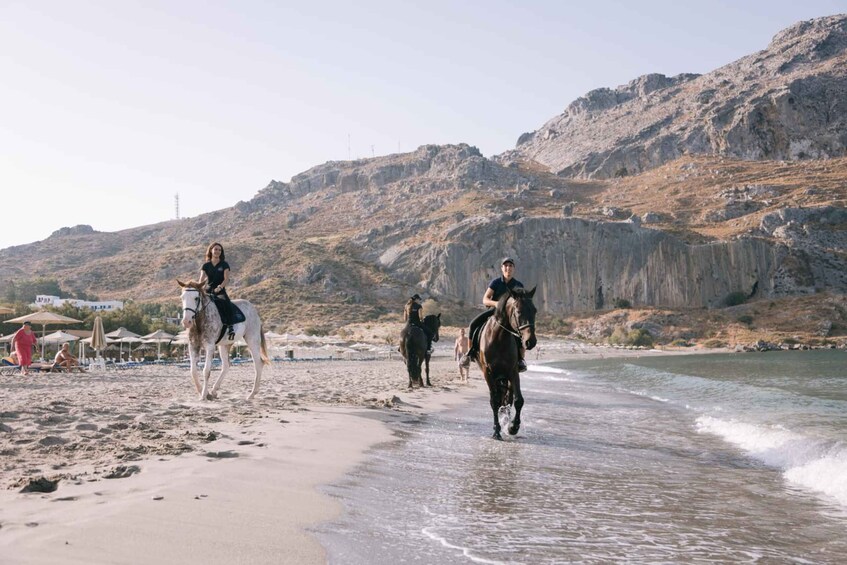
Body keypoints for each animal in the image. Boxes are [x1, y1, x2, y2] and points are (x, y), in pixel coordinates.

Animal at [476, 284, 536, 438]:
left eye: (534, 310)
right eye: (519, 311)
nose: (531, 342)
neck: (499, 338)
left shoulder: (513, 371)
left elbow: (518, 400)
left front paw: (513, 427)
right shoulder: (488, 373)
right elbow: (495, 401)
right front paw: (496, 431)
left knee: (508, 399)